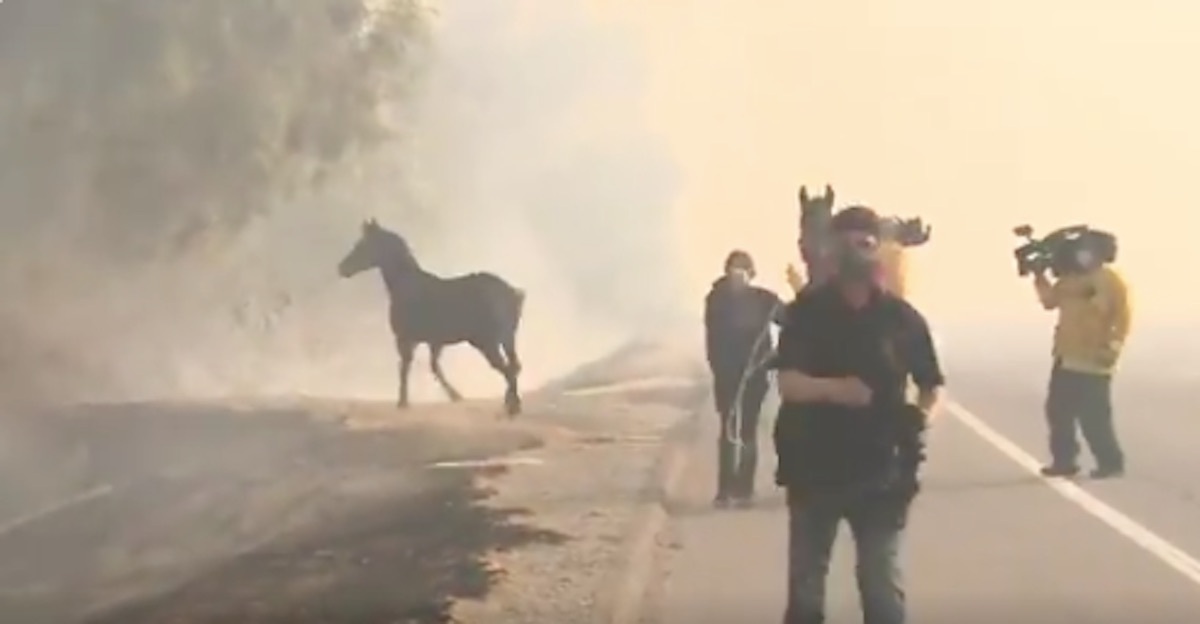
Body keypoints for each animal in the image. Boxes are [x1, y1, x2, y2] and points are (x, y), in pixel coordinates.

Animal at [338, 218, 525, 415]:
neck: (407, 286)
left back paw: (512, 407)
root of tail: (511, 291)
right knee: (514, 367)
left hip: (487, 342)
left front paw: (403, 402)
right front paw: (455, 397)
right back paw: (511, 404)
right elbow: (433, 367)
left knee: (508, 369)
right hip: (506, 339)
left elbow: (405, 369)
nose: (342, 268)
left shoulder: (405, 340)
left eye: (361, 245)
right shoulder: (433, 342)